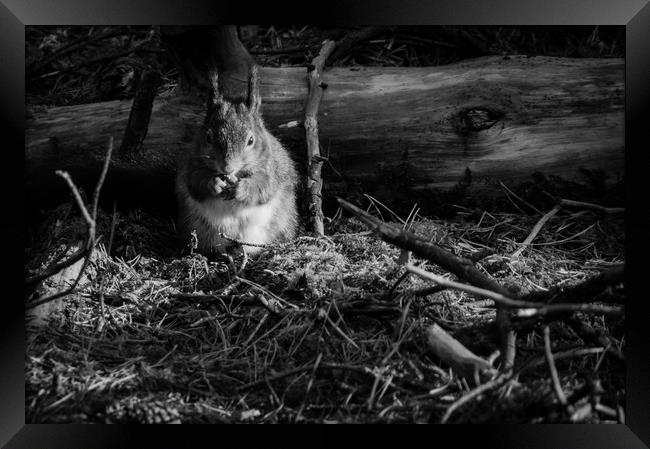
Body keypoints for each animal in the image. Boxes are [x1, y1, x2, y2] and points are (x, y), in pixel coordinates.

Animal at [176, 65, 300, 258]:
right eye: (208, 137)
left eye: (251, 140)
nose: (227, 167)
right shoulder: (192, 165)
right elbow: (195, 183)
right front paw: (215, 183)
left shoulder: (272, 169)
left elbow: (265, 186)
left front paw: (243, 188)